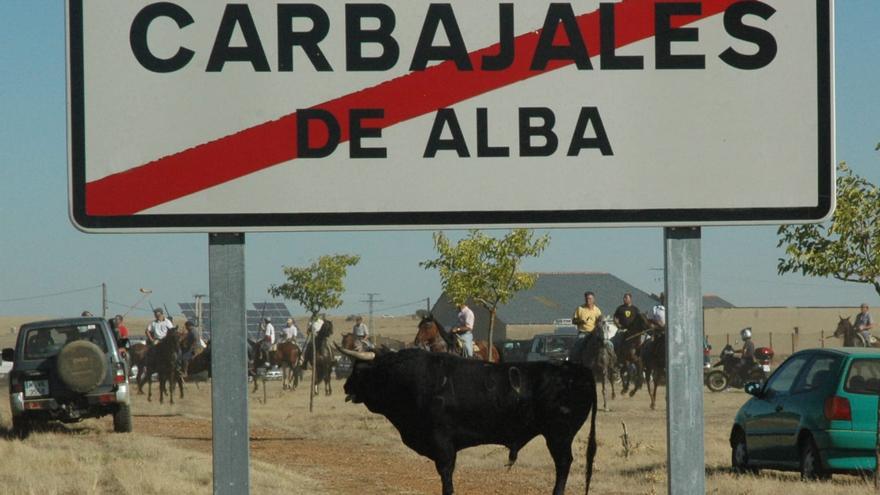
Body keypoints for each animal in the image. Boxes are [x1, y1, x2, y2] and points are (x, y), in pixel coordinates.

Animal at [336, 346, 600, 494]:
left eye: (358, 370)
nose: (345, 386)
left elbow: (446, 475)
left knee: (563, 465)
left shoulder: (442, 442)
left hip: (559, 436)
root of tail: (579, 370)